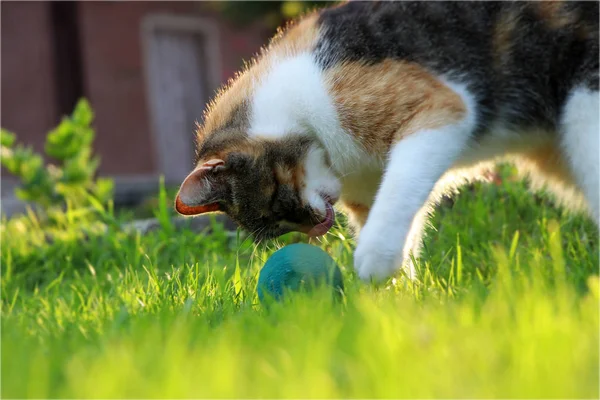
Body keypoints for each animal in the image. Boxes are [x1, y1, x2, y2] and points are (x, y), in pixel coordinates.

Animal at [173, 0, 596, 282]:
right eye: (281, 228)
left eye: (279, 200)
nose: (317, 228)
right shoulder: (366, 194)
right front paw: (401, 303)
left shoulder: (440, 108)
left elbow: (399, 189)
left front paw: (373, 265)